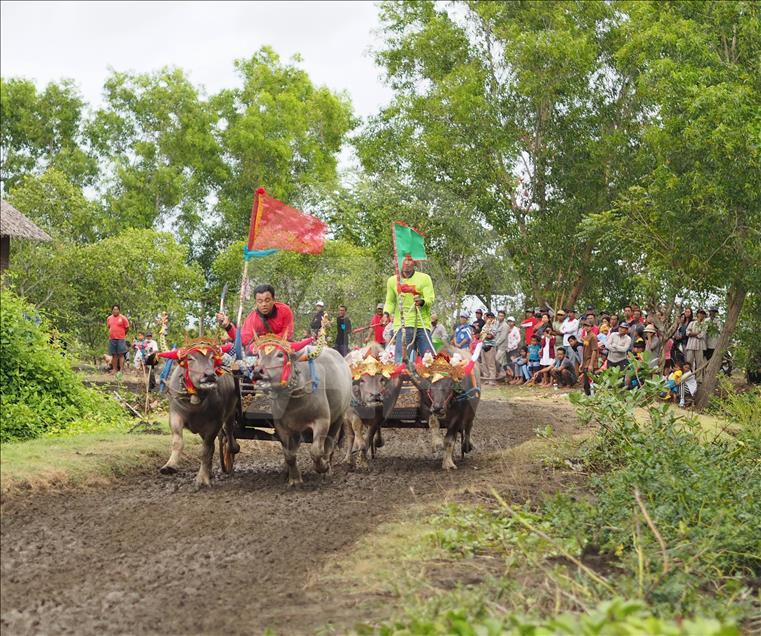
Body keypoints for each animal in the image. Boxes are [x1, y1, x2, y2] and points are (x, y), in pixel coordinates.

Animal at [156, 342, 236, 486]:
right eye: (190, 358)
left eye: (212, 357)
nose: (209, 375)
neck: (195, 402)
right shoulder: (175, 415)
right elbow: (177, 442)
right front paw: (169, 466)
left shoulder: (214, 423)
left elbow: (205, 450)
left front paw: (202, 478)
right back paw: (209, 472)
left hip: (231, 412)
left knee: (228, 431)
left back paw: (233, 448)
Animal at [254, 338, 352, 486]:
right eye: (258, 355)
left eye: (280, 355)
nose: (257, 372)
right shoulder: (281, 426)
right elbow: (289, 454)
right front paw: (295, 479)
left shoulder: (322, 420)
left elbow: (316, 451)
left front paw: (322, 467)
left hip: (339, 417)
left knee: (329, 446)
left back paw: (327, 469)